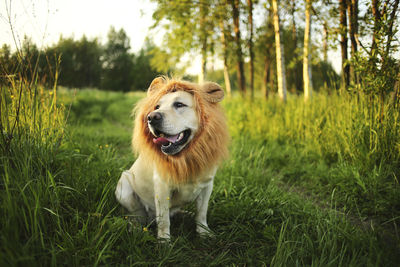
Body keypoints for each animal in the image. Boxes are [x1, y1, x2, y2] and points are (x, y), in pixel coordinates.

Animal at [114, 77, 230, 241]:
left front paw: (203, 233)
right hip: (124, 185)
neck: (185, 156)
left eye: (179, 104)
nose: (151, 117)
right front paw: (164, 241)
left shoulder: (207, 184)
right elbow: (164, 220)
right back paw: (136, 228)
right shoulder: (162, 186)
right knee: (136, 215)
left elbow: (202, 213)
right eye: (157, 106)